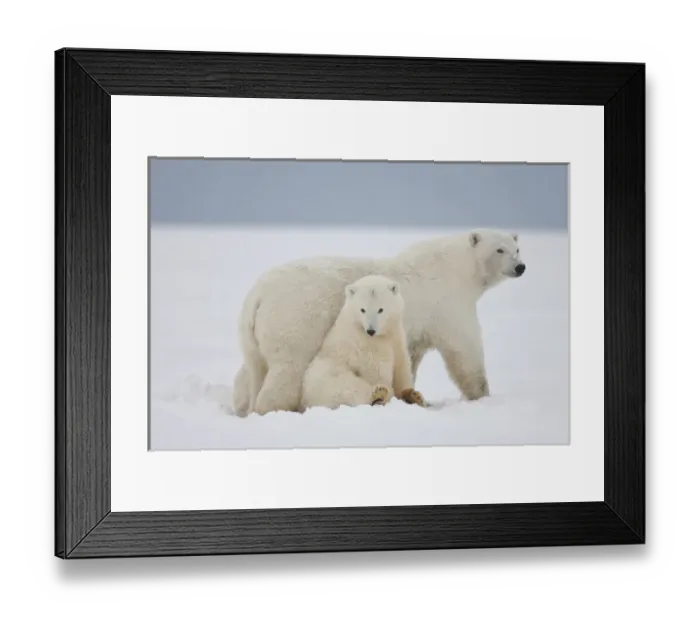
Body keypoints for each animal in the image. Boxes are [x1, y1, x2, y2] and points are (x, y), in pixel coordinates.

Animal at [300, 275, 426, 412]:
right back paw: (378, 394)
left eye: (380, 310)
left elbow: (401, 366)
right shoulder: (366, 346)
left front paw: (412, 394)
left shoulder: (396, 337)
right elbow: (377, 371)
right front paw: (389, 393)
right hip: (326, 378)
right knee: (347, 386)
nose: (371, 330)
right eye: (363, 310)